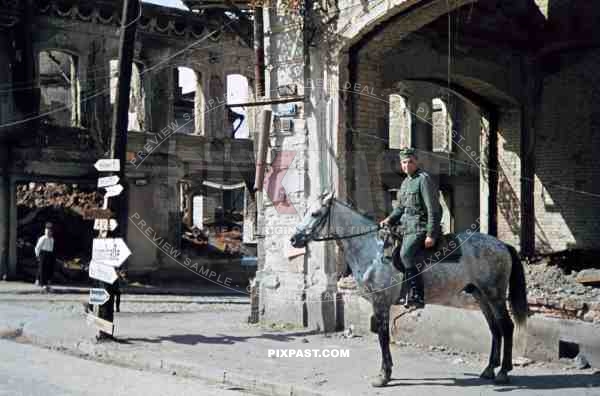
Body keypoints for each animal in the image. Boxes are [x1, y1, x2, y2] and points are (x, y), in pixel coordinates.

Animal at [290, 193, 528, 386]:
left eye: (315, 213)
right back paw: (489, 369)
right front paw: (386, 372)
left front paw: (383, 376)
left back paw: (503, 372)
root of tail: (501, 245)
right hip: (481, 295)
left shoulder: (381, 303)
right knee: (495, 328)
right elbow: (383, 337)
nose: (294, 239)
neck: (372, 250)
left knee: (506, 327)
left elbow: (383, 337)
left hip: (494, 295)